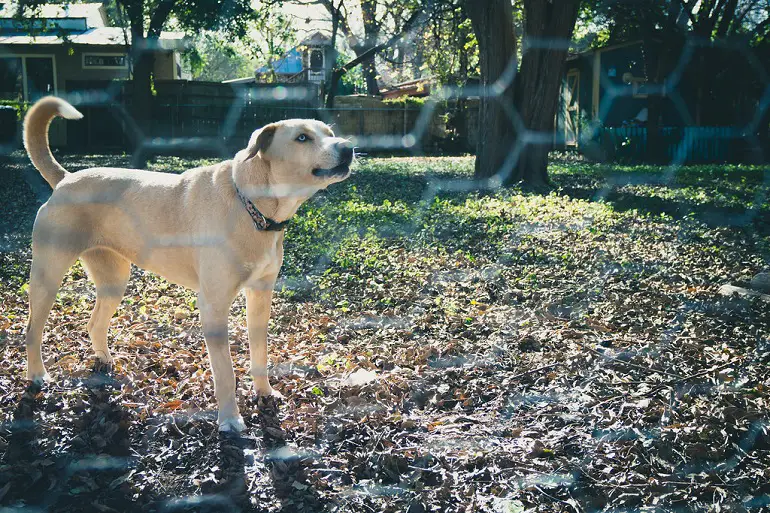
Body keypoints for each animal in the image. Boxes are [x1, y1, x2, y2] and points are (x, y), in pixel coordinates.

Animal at [21, 95, 352, 428]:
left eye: (329, 132)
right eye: (302, 138)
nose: (348, 147)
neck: (250, 205)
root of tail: (66, 180)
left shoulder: (260, 295)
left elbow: (260, 353)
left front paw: (264, 393)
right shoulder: (214, 305)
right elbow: (225, 372)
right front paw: (230, 420)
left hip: (113, 280)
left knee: (94, 323)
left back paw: (104, 361)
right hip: (48, 276)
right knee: (33, 330)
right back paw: (37, 375)